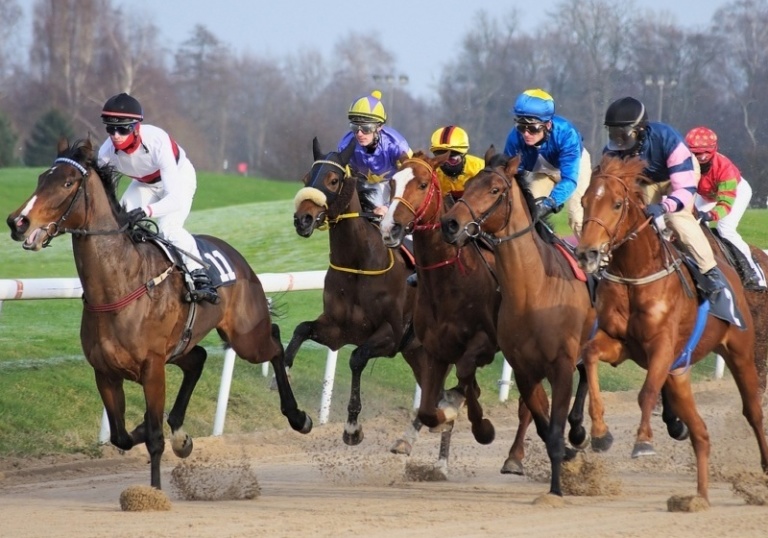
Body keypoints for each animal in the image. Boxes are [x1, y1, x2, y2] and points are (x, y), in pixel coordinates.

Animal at [6, 138, 312, 490]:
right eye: (42, 177)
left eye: (68, 183)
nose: (17, 222)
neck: (118, 286)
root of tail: (239, 259)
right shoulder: (105, 372)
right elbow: (123, 437)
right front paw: (158, 432)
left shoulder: (152, 368)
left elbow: (154, 439)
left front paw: (154, 489)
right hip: (182, 346)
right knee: (199, 359)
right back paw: (180, 430)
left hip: (245, 336)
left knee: (273, 343)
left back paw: (298, 416)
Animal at [289, 137, 428, 447]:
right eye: (305, 178)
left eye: (333, 179)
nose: (302, 220)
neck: (359, 264)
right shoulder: (337, 330)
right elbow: (301, 329)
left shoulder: (392, 334)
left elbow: (356, 358)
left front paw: (352, 427)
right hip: (416, 352)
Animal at [379, 152, 534, 475]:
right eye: (392, 182)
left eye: (423, 184)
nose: (390, 229)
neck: (449, 280)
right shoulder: (434, 349)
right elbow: (429, 407)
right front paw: (445, 413)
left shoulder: (484, 344)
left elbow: (465, 377)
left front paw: (481, 426)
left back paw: (515, 456)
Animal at [440, 149, 595, 498]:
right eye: (469, 183)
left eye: (495, 189)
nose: (450, 223)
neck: (533, 291)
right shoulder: (524, 368)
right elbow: (543, 424)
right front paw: (565, 455)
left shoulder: (561, 364)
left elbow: (554, 427)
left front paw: (556, 490)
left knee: (589, 372)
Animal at [573, 154, 768, 504]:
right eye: (584, 201)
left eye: (617, 204)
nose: (587, 253)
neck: (636, 275)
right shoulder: (619, 343)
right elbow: (591, 355)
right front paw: (599, 433)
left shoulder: (661, 347)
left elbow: (647, 391)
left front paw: (643, 442)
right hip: (680, 372)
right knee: (701, 432)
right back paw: (698, 498)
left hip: (741, 352)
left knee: (753, 411)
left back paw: (762, 468)